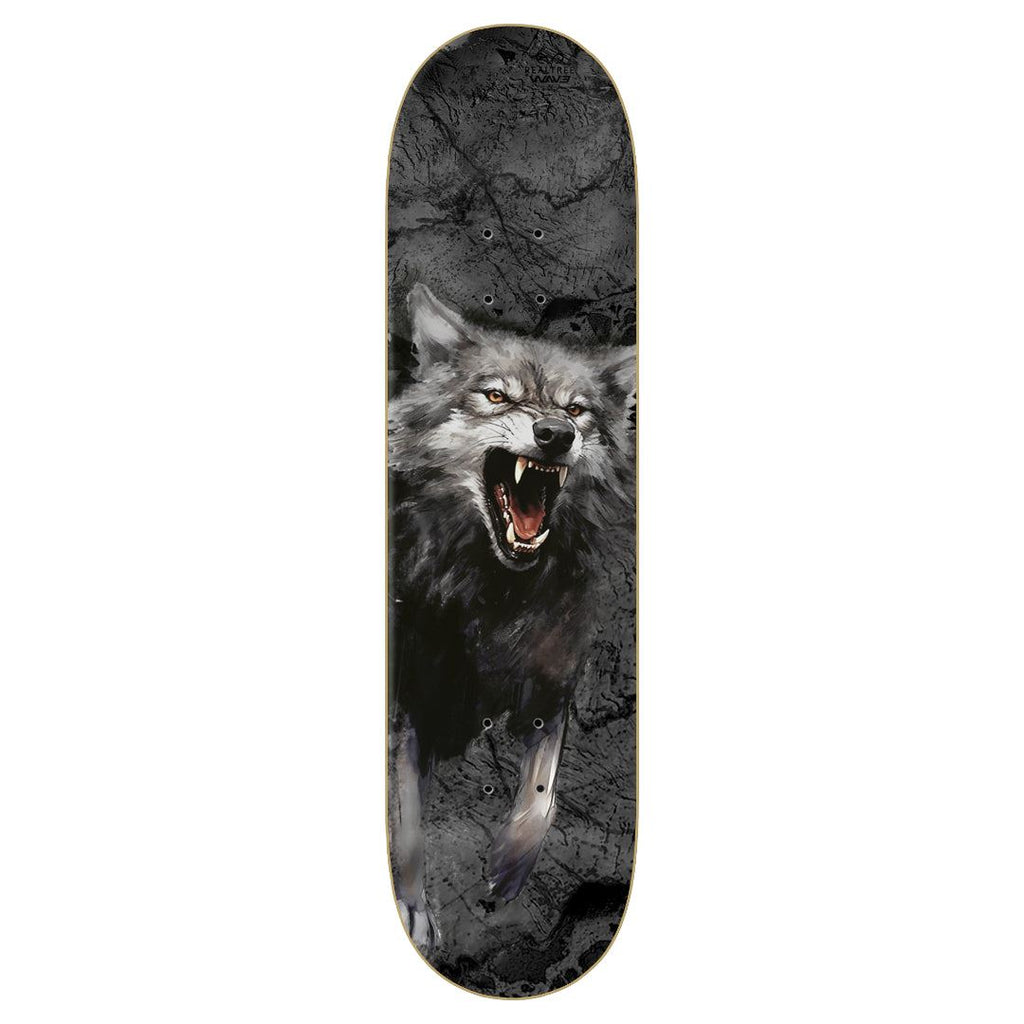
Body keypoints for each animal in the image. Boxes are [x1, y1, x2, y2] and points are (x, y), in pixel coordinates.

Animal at [389, 283, 635, 951]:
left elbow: (543, 796)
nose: (554, 433)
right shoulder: (410, 704)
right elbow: (407, 821)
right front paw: (415, 915)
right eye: (496, 395)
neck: (497, 596)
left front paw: (506, 869)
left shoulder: (552, 687)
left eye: (576, 410)